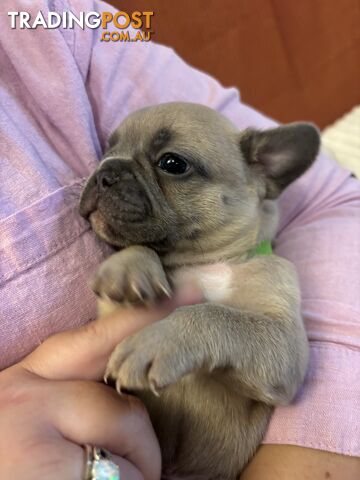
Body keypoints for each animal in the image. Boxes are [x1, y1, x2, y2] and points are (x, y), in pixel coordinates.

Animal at [79, 102, 320, 480]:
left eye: (172, 163)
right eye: (108, 149)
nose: (106, 169)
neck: (205, 261)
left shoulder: (284, 343)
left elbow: (215, 314)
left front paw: (157, 342)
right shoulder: (113, 312)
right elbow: (139, 248)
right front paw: (128, 267)